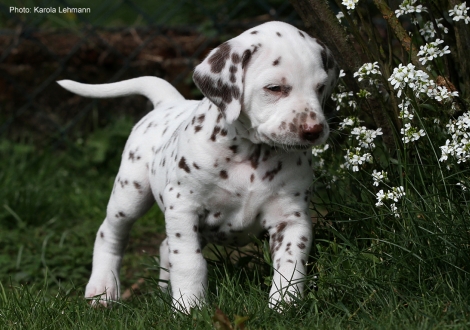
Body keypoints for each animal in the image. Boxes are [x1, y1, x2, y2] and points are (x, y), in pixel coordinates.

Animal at [57, 21, 338, 312]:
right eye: (274, 88)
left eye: (320, 87)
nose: (313, 131)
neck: (253, 155)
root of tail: (169, 102)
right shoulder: (183, 206)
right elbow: (189, 261)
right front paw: (189, 307)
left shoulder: (291, 218)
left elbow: (291, 266)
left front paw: (284, 305)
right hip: (130, 195)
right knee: (110, 233)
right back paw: (103, 289)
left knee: (164, 246)